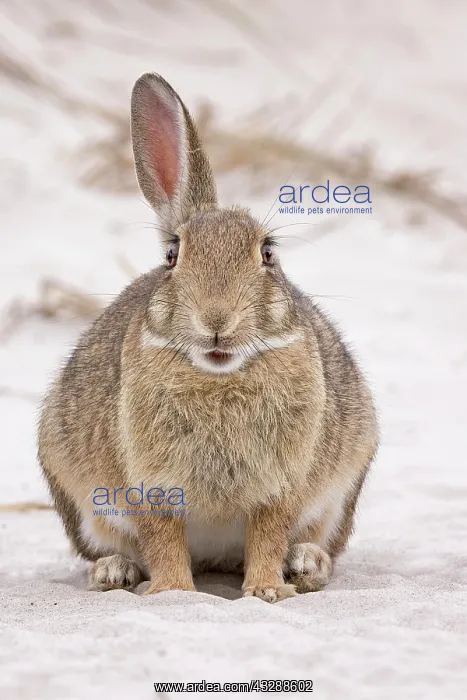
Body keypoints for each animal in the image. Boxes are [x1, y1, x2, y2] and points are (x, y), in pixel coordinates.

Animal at [38, 72, 378, 602]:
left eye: (267, 252)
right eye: (173, 255)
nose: (216, 319)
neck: (219, 376)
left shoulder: (280, 485)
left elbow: (268, 533)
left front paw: (266, 591)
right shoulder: (150, 485)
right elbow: (162, 538)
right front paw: (173, 593)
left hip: (341, 492)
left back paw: (306, 564)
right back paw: (113, 572)